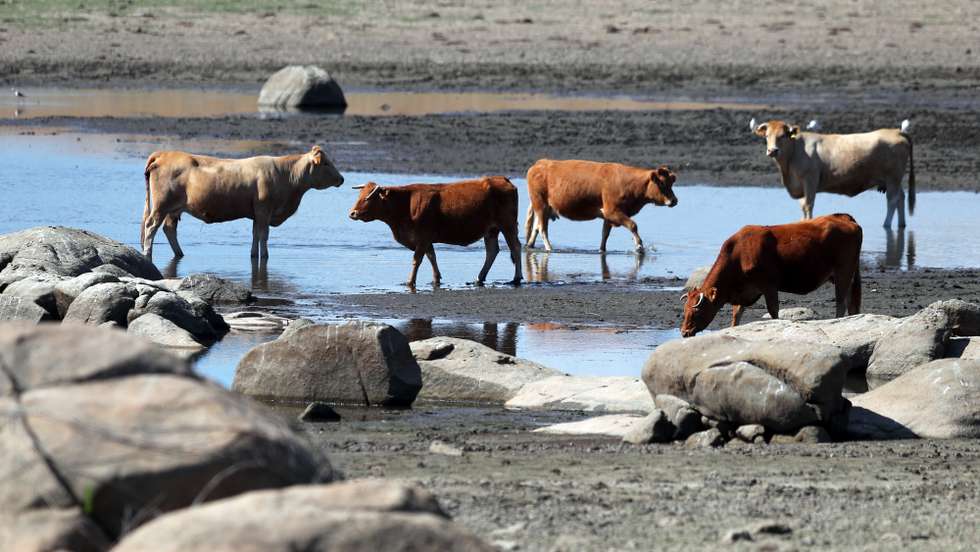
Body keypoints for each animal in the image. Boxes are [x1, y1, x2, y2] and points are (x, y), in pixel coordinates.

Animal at [140, 145, 343, 260]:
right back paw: (147, 254)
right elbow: (263, 235)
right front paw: (265, 257)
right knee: (151, 226)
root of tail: (164, 153)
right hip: (161, 205)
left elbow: (255, 235)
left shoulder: (257, 213)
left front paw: (254, 255)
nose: (341, 178)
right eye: (325, 163)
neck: (286, 175)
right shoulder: (264, 209)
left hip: (173, 209)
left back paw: (179, 254)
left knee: (169, 228)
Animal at [348, 177, 523, 289]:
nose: (352, 213)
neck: (405, 204)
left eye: (369, 198)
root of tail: (501, 179)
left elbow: (417, 260)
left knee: (515, 247)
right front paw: (436, 279)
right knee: (492, 251)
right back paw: (479, 278)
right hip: (491, 230)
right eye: (360, 195)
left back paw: (516, 278)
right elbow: (432, 257)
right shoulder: (426, 239)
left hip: (507, 225)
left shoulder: (422, 237)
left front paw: (410, 282)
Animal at [524, 159, 678, 253]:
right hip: (540, 205)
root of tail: (540, 163)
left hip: (543, 207)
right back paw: (549, 248)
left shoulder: (608, 215)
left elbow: (605, 234)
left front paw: (602, 250)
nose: (674, 201)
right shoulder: (613, 211)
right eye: (662, 183)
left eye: (671, 183)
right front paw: (639, 247)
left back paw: (530, 245)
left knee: (536, 227)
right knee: (542, 229)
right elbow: (633, 225)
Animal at [680, 213, 863, 337]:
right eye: (685, 309)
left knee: (841, 303)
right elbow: (736, 314)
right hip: (849, 275)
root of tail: (844, 218)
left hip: (843, 272)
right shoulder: (745, 291)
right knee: (850, 303)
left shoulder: (769, 285)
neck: (738, 254)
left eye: (697, 311)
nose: (683, 332)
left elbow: (773, 310)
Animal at [752, 118, 914, 228]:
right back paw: (901, 224)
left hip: (893, 177)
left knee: (892, 200)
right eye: (767, 136)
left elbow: (808, 205)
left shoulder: (810, 179)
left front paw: (809, 223)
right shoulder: (800, 184)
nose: (772, 150)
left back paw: (886, 224)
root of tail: (896, 131)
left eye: (783, 136)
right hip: (894, 179)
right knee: (901, 197)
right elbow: (803, 206)